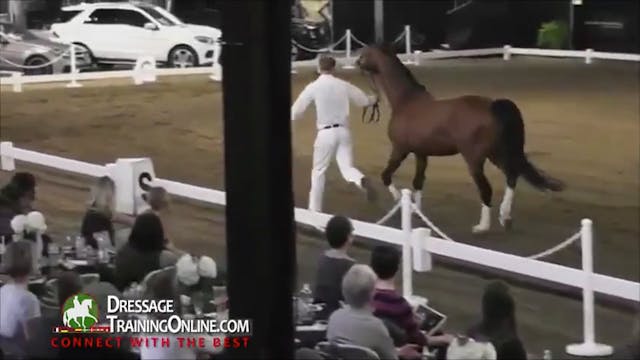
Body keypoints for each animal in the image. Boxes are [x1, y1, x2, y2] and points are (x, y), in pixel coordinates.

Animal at [356, 44, 564, 233]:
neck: (406, 102)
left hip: (475, 158)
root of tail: (493, 106)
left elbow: (386, 175)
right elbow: (418, 182)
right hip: (496, 153)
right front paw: (416, 212)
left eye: (365, 54)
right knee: (512, 176)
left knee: (487, 188)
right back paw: (505, 217)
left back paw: (482, 226)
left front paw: (399, 200)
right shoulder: (421, 154)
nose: (357, 63)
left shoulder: (400, 149)